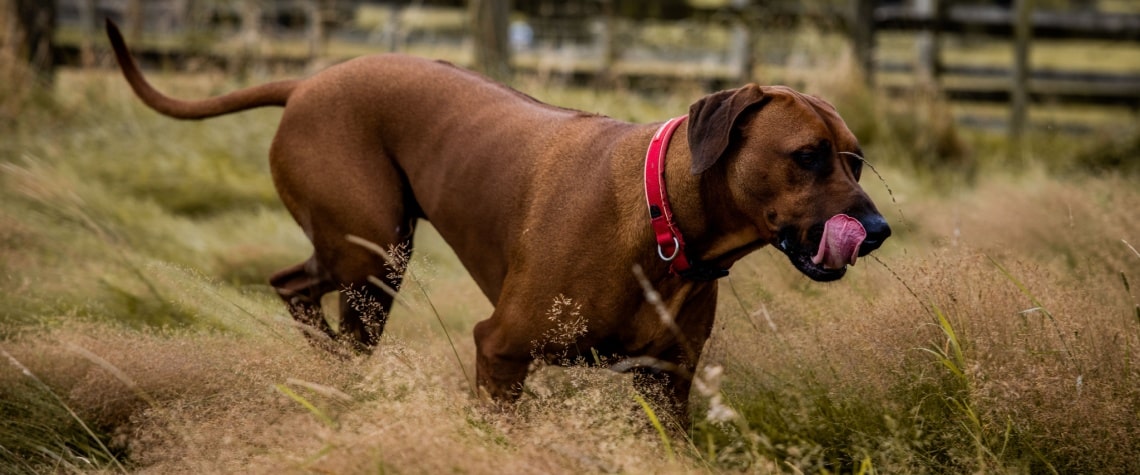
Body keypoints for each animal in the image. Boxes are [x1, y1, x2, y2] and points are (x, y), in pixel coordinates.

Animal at [104, 20, 889, 419]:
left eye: (857, 160)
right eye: (808, 157)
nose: (878, 229)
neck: (663, 224)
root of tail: (309, 80)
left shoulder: (665, 381)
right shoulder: (502, 351)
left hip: (370, 259)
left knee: (303, 291)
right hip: (373, 248)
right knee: (296, 284)